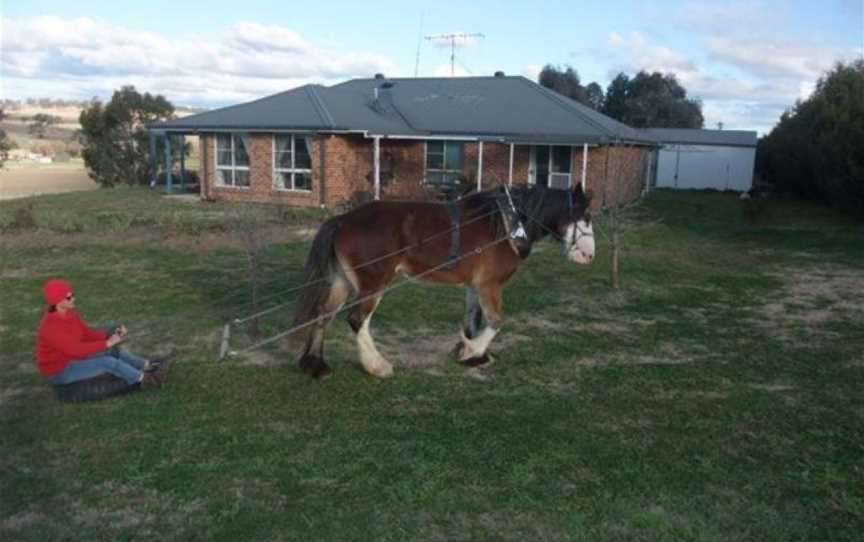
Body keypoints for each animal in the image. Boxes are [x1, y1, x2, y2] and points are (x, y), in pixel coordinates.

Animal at [290, 185, 592, 380]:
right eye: (586, 217)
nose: (589, 255)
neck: (507, 225)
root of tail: (343, 220)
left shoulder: (475, 285)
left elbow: (472, 321)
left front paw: (472, 354)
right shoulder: (490, 285)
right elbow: (496, 321)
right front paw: (473, 351)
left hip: (343, 281)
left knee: (323, 314)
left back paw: (316, 365)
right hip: (373, 283)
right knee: (357, 319)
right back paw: (377, 366)